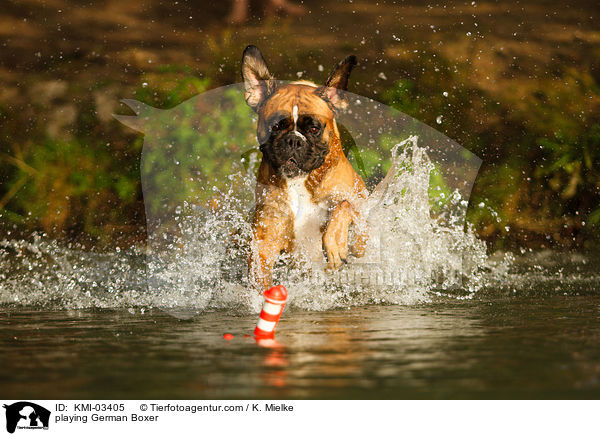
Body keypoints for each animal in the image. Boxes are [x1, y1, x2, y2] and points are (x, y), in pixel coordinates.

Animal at [241, 44, 368, 292]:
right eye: (275, 126)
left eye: (314, 129)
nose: (293, 140)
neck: (300, 182)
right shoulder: (265, 240)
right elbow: (260, 272)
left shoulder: (364, 213)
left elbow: (344, 206)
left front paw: (334, 244)